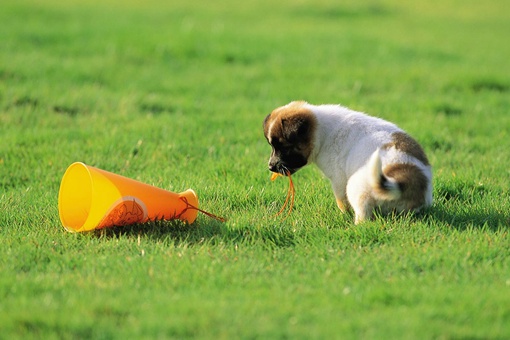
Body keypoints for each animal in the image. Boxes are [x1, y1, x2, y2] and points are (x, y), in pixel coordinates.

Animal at [262, 101, 434, 223]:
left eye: (284, 147)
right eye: (272, 146)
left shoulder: (338, 179)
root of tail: (406, 182)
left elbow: (341, 201)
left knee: (363, 215)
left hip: (355, 187)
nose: (270, 167)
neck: (322, 132)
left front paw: (344, 214)